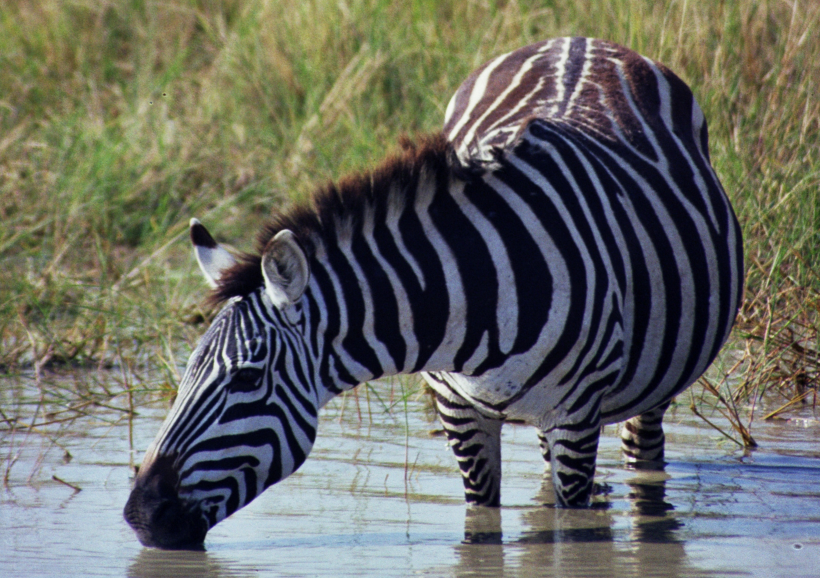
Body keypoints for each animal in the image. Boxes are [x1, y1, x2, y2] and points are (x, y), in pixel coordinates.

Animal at [123, 37, 744, 548]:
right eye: (186, 372)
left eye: (248, 379)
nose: (139, 517)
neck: (477, 294)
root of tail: (581, 39)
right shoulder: (460, 411)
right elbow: (483, 527)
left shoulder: (575, 416)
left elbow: (575, 539)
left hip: (644, 386)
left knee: (645, 461)